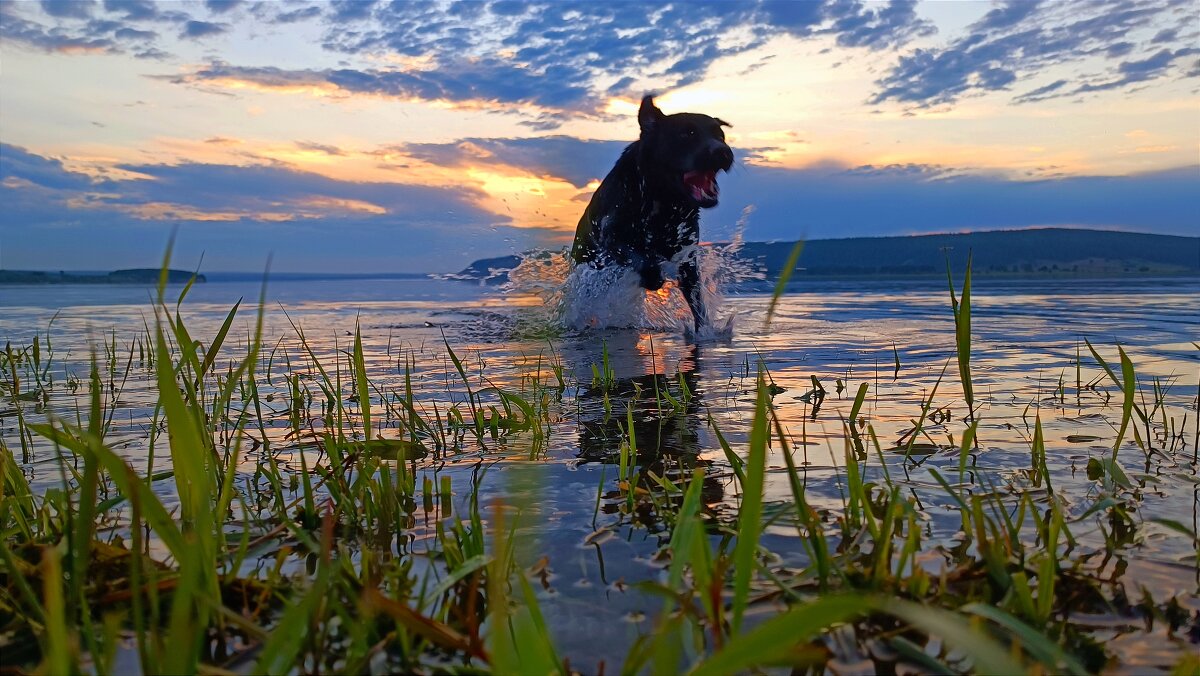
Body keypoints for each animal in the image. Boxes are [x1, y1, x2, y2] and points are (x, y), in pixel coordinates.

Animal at [568, 96, 729, 331]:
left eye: (720, 135)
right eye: (687, 133)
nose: (724, 152)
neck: (664, 205)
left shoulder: (687, 258)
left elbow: (697, 301)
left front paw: (705, 331)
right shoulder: (612, 236)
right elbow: (641, 258)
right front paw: (653, 277)